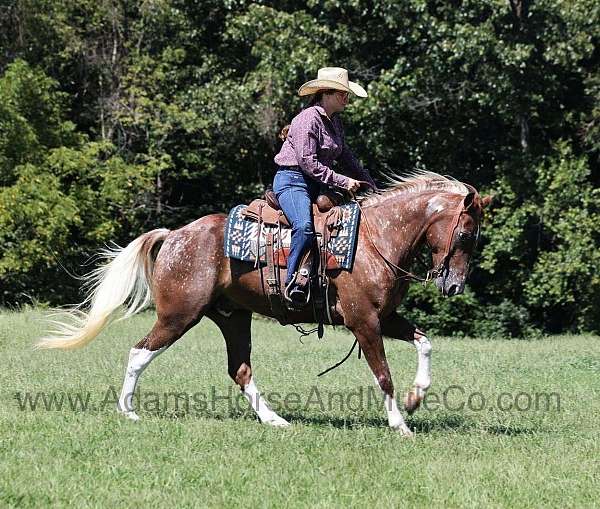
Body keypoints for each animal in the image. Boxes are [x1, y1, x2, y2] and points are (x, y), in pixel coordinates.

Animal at [37, 172, 490, 436]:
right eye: (466, 235)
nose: (454, 286)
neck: (375, 238)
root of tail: (176, 234)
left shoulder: (387, 317)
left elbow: (424, 343)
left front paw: (417, 397)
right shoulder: (364, 322)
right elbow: (383, 376)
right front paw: (400, 424)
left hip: (232, 317)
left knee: (239, 369)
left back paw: (274, 419)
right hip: (179, 315)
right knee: (139, 351)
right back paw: (128, 411)